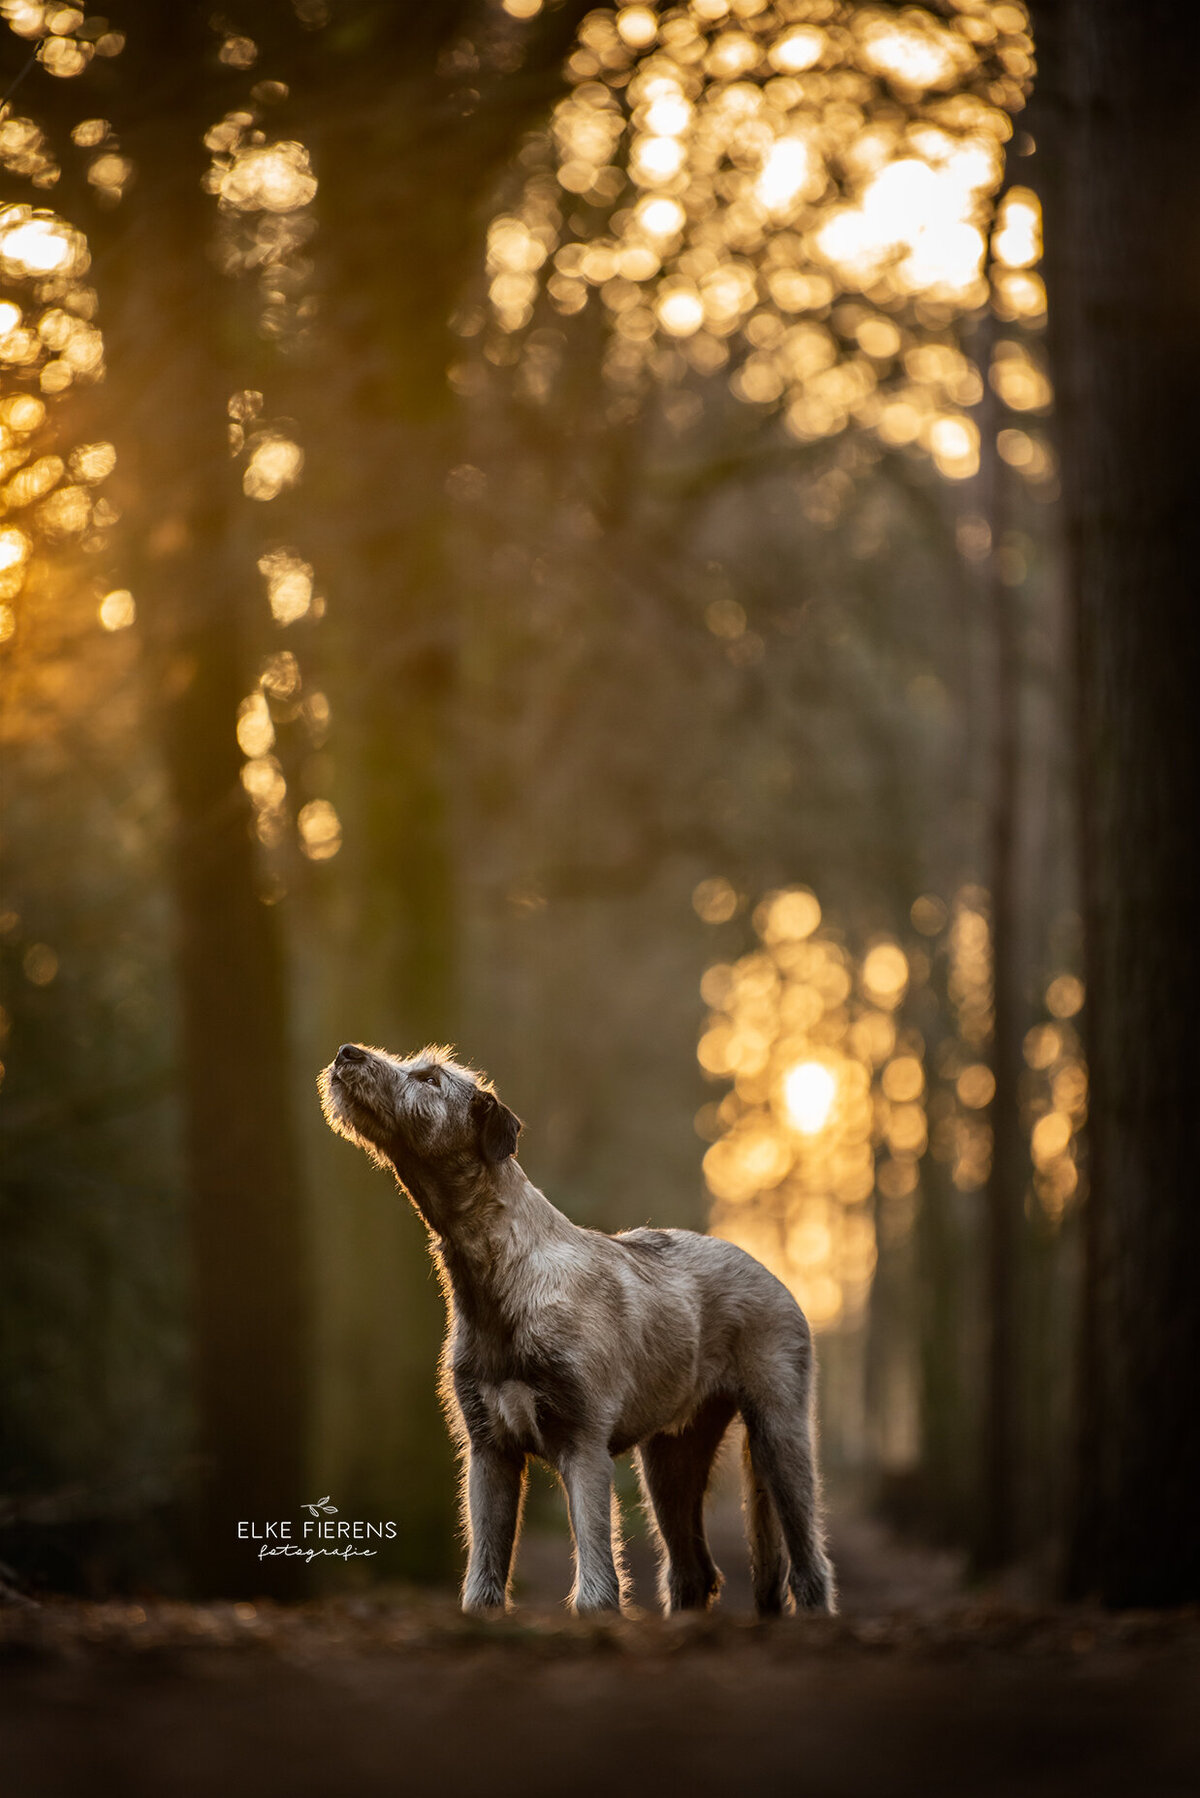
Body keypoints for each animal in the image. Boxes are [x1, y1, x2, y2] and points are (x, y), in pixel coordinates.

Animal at [323, 1042, 841, 1618]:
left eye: (431, 1079)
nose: (347, 1053)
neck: (502, 1271)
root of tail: (768, 1270)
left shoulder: (584, 1446)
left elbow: (597, 1583)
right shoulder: (489, 1452)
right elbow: (483, 1580)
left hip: (779, 1431)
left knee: (808, 1562)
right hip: (670, 1459)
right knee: (693, 1571)